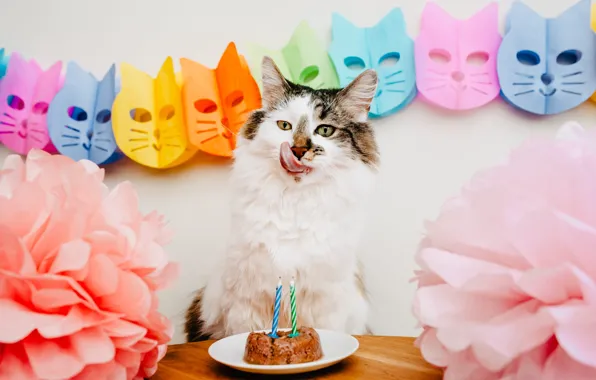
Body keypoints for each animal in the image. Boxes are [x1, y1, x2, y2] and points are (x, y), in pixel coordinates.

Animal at [184, 55, 380, 340]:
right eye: (284, 126)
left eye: (325, 131)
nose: (298, 149)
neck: (295, 204)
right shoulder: (248, 301)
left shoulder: (327, 301)